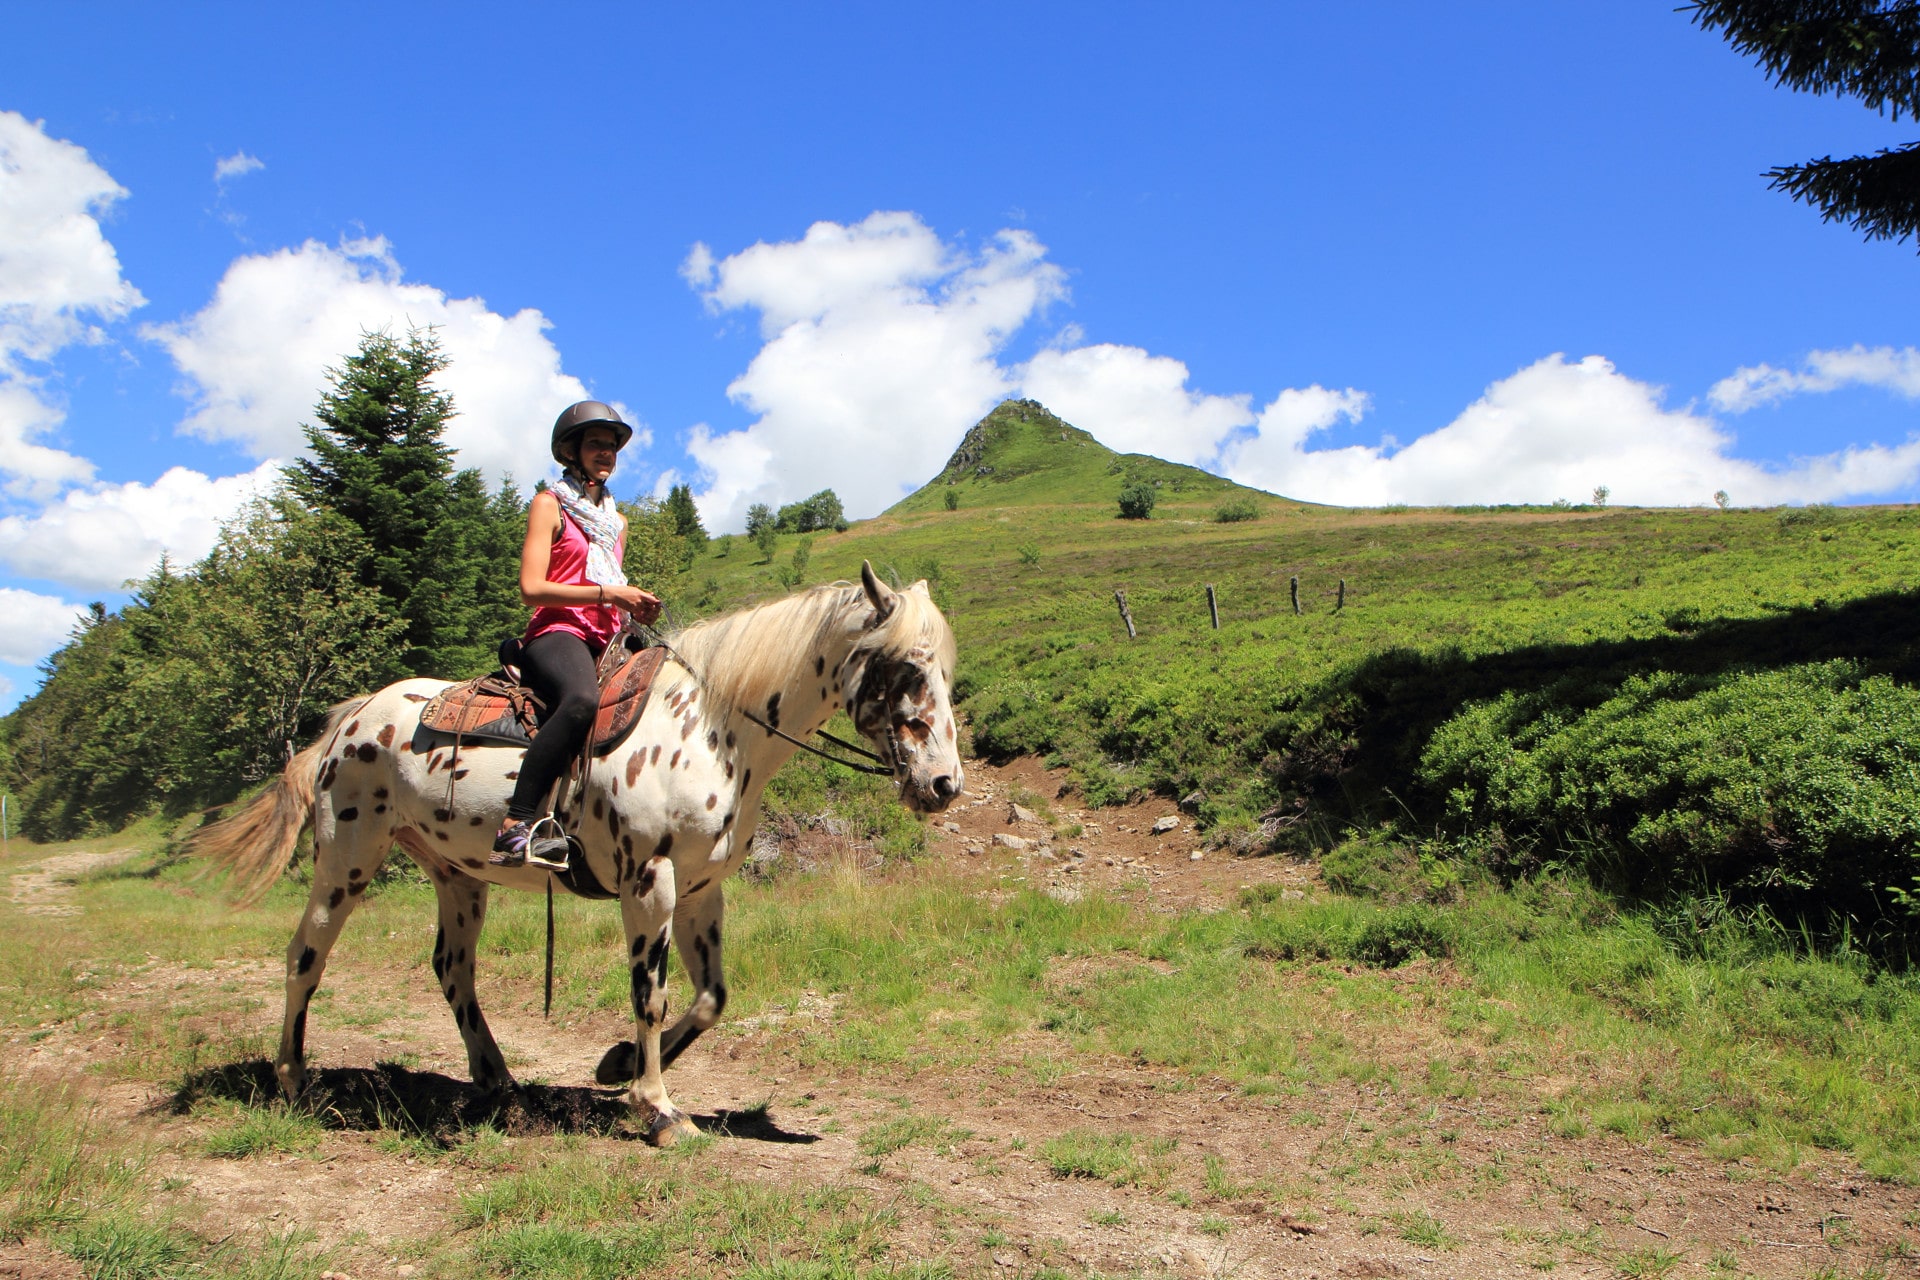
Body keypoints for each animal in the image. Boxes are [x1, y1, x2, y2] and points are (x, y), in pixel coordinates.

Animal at [189, 564, 963, 1145]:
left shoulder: (701, 891)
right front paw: (659, 1108)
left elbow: (711, 997)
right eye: (905, 669)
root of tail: (348, 720)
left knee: (452, 970)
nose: (943, 785)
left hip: (456, 877)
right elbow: (651, 995)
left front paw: (617, 1067)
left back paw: (498, 1083)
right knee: (306, 956)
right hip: (346, 859)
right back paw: (294, 1080)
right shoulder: (649, 883)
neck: (713, 727)